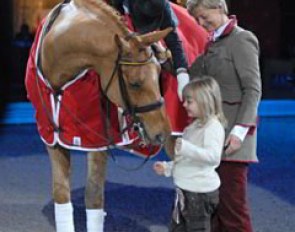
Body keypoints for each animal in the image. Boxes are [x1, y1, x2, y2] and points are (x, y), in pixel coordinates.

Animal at [27, 0, 173, 232]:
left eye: (159, 74)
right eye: (134, 83)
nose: (161, 132)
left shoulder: (96, 140)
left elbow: (94, 197)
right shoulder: (52, 138)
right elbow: (61, 193)